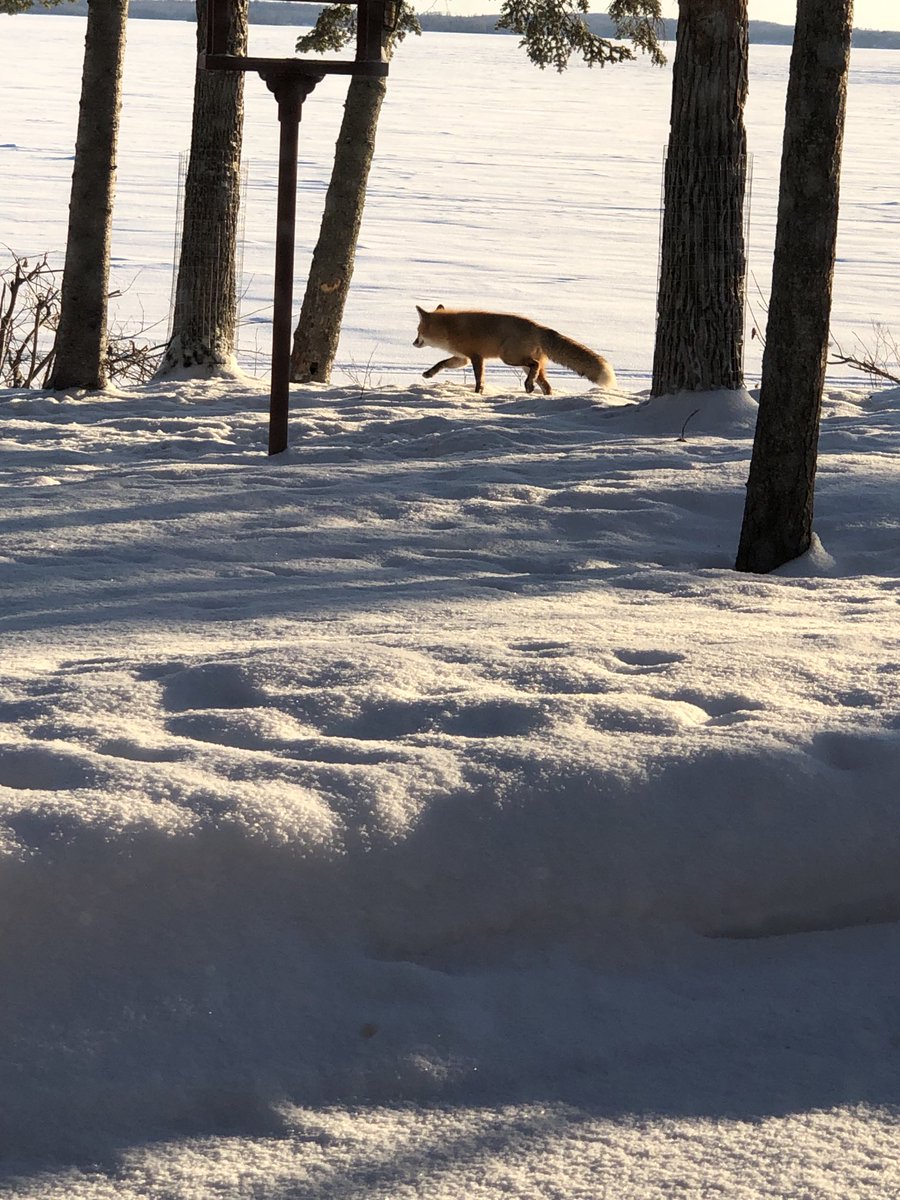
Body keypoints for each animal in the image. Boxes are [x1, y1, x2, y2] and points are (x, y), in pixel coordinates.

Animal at [413, 305, 616, 395]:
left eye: (418, 331)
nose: (413, 343)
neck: (450, 328)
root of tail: (538, 327)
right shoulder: (462, 358)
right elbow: (441, 363)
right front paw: (428, 374)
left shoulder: (476, 356)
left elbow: (479, 378)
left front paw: (477, 393)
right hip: (522, 364)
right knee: (546, 385)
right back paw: (539, 393)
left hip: (509, 358)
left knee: (534, 366)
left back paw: (529, 386)